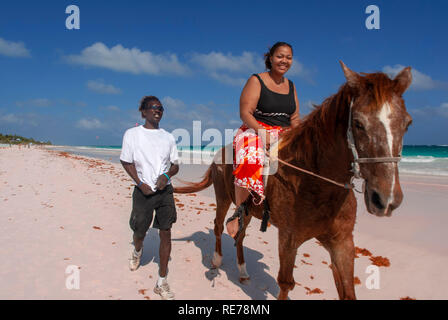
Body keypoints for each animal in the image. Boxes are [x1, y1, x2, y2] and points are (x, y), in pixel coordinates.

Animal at [173, 61, 412, 298]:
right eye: (358, 123)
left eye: (407, 123)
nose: (386, 200)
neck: (317, 184)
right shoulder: (289, 239)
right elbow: (286, 283)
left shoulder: (342, 242)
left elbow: (347, 291)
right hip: (222, 198)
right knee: (218, 226)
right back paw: (216, 260)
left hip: (248, 211)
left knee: (239, 236)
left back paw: (243, 271)